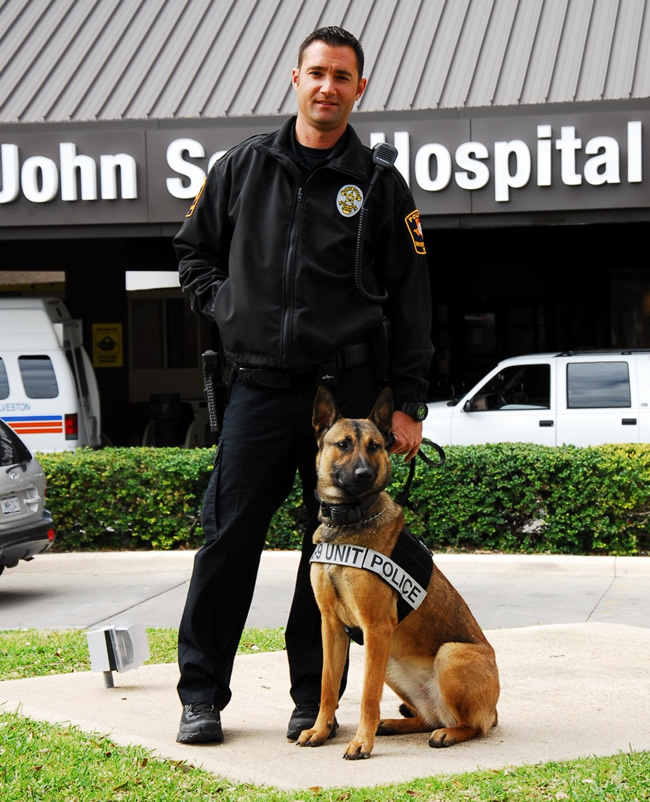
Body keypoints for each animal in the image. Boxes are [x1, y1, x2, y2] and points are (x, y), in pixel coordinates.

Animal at [296, 386, 498, 756]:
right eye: (343, 444)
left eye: (375, 446)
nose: (363, 474)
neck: (349, 520)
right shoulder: (331, 625)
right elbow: (327, 687)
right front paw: (319, 730)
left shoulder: (376, 627)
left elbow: (367, 695)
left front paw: (362, 742)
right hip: (392, 663)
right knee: (429, 717)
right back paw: (394, 724)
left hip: (448, 654)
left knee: (472, 726)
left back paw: (447, 734)